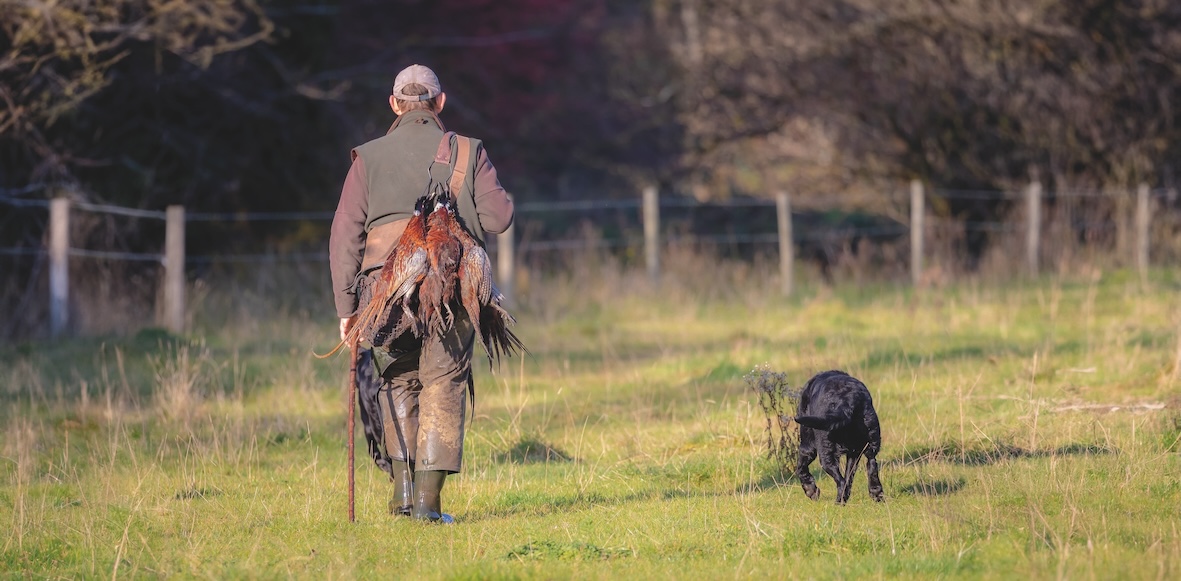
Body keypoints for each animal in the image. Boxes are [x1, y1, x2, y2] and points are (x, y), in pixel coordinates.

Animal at [798, 373, 883, 503]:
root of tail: (845, 402)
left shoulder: (807, 447)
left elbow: (800, 468)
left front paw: (811, 491)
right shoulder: (854, 453)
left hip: (824, 449)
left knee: (841, 481)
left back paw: (838, 502)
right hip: (870, 441)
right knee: (870, 465)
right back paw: (876, 493)